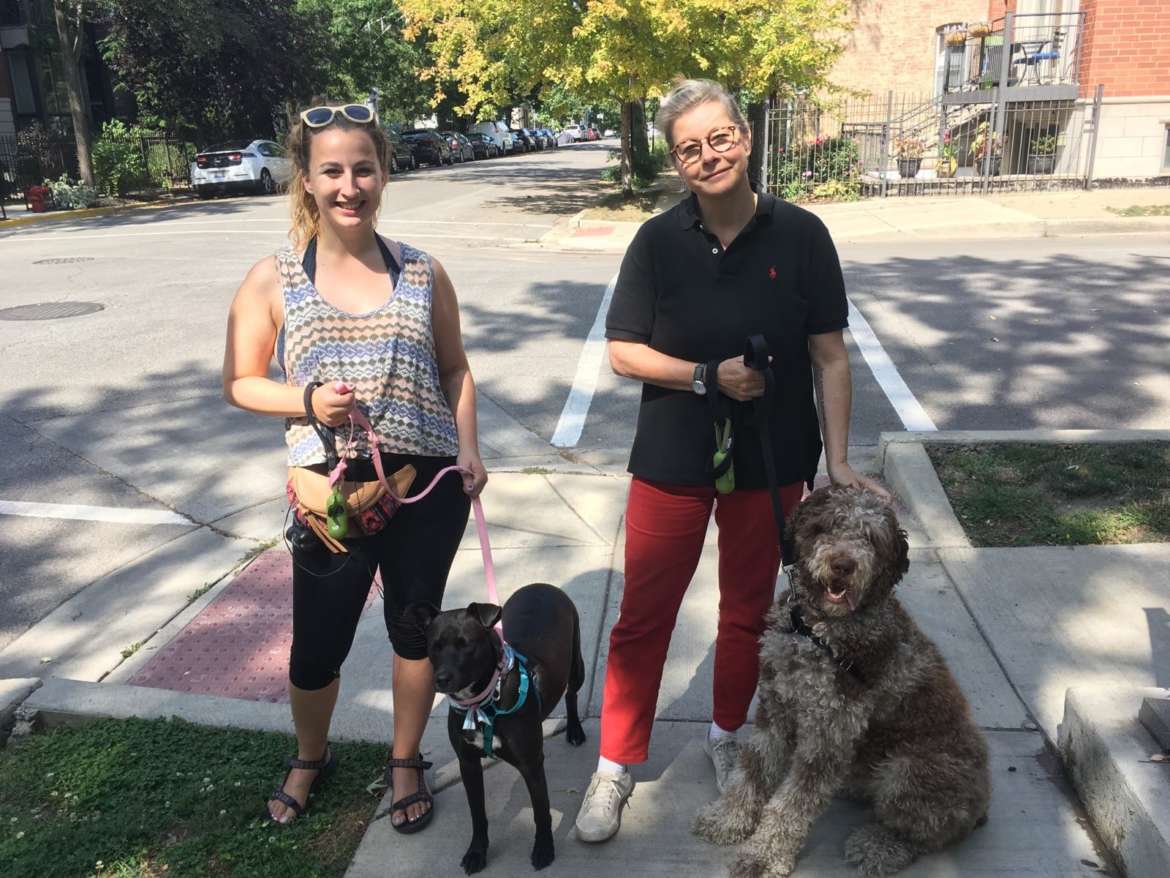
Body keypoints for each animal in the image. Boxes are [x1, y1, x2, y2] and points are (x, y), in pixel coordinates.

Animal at [407, 585, 585, 875]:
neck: (483, 701)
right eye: (434, 647)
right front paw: (477, 852)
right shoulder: (468, 764)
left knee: (571, 692)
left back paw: (575, 730)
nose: (441, 679)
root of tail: (541, 585)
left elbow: (541, 810)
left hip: (575, 663)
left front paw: (544, 848)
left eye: (466, 644)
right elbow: (478, 814)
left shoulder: (531, 764)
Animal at [692, 489, 987, 878]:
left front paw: (762, 856)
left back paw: (879, 846)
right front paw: (727, 819)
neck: (816, 630)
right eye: (827, 525)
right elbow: (753, 770)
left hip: (909, 771)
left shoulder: (828, 735)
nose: (843, 565)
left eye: (872, 539)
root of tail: (982, 803)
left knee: (923, 832)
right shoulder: (776, 708)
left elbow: (790, 806)